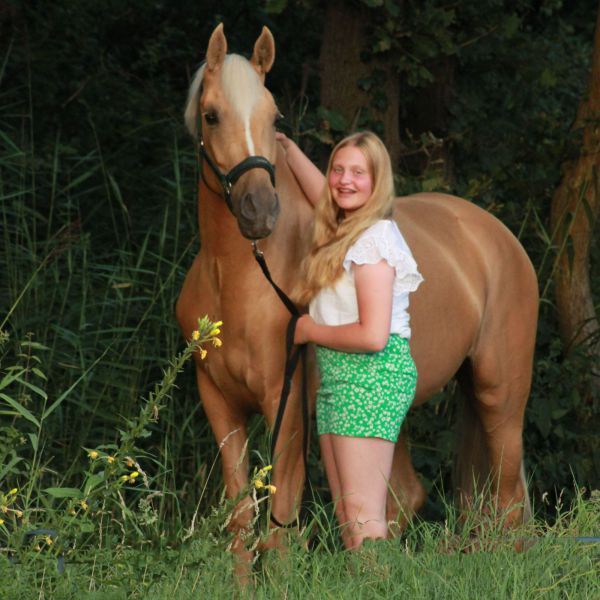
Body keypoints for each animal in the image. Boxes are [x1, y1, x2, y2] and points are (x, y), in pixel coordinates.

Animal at [176, 22, 536, 556]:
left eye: (274, 116)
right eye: (212, 115)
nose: (259, 210)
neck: (239, 279)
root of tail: (499, 236)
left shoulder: (287, 409)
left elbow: (281, 529)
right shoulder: (220, 404)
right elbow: (242, 522)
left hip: (502, 396)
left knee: (508, 503)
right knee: (402, 497)